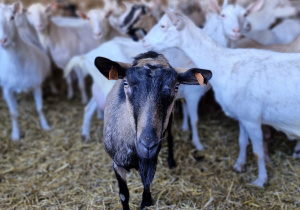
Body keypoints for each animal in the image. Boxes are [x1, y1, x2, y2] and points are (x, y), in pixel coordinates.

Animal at [0, 2, 51, 140]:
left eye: (12, 17)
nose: (3, 40)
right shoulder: (7, 89)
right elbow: (13, 113)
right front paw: (15, 135)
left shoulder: (36, 85)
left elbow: (40, 108)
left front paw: (45, 125)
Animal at [95, 50, 212, 208]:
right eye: (125, 83)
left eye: (176, 86)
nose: (148, 144)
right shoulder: (117, 163)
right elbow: (124, 195)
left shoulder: (150, 160)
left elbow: (147, 187)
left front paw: (146, 201)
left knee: (170, 136)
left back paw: (171, 161)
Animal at [142, 10, 300, 187]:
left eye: (163, 25)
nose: (143, 41)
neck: (224, 65)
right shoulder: (242, 115)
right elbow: (242, 141)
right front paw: (239, 165)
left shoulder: (252, 118)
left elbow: (258, 152)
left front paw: (260, 180)